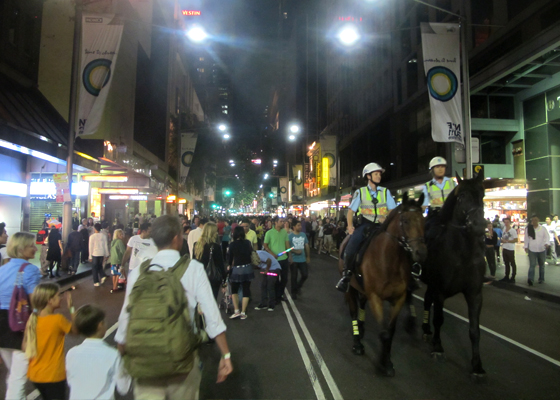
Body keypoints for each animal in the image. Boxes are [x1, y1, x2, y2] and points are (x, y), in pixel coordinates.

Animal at [340, 192, 426, 376]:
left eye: (423, 219)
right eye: (405, 220)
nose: (421, 253)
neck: (389, 260)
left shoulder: (399, 298)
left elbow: (390, 332)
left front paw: (387, 360)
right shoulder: (376, 298)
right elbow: (384, 332)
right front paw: (382, 362)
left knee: (361, 304)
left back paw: (361, 327)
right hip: (350, 290)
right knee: (353, 311)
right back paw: (357, 343)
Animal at [420, 173, 486, 378]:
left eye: (482, 194)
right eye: (462, 195)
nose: (479, 226)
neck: (462, 253)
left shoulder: (475, 294)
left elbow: (475, 330)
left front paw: (477, 365)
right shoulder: (440, 290)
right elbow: (439, 319)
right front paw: (438, 347)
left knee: (426, 300)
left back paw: (426, 329)